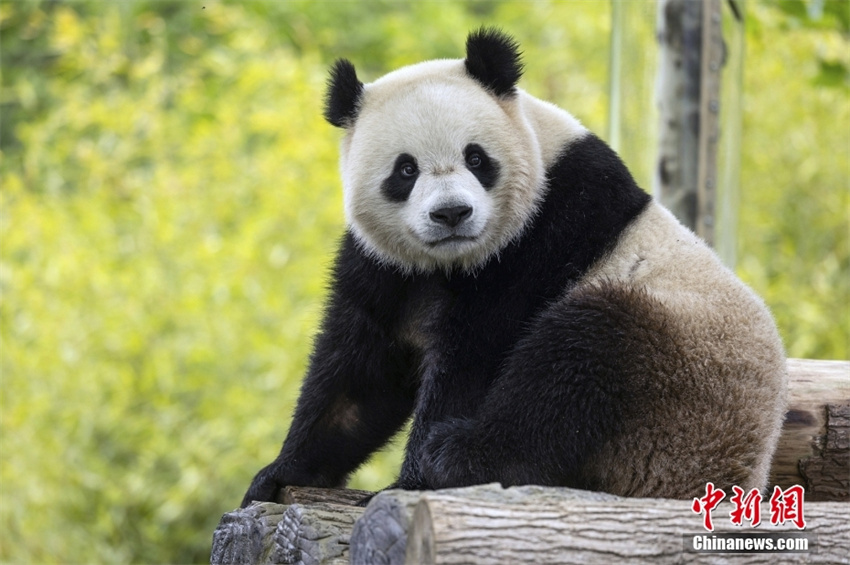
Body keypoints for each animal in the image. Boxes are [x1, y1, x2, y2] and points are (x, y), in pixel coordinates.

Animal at [241, 29, 787, 507]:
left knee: (578, 361)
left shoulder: (543, 233)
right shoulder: (387, 266)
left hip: (681, 378)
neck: (450, 262)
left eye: (476, 158)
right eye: (405, 169)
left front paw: (410, 483)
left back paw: (460, 455)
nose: (452, 213)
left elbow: (476, 357)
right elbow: (360, 373)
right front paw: (279, 475)